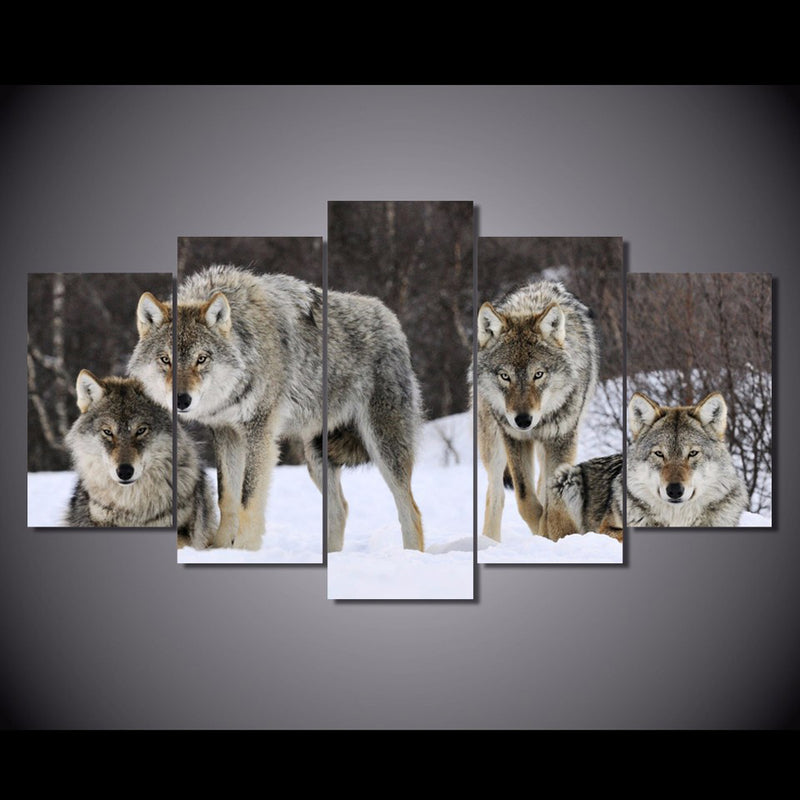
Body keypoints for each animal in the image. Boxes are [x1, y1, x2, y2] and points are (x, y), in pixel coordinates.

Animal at [128, 265, 424, 552]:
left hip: (383, 446)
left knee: (411, 511)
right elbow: (227, 498)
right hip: (316, 456)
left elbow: (248, 498)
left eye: (201, 359)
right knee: (340, 510)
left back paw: (411, 556)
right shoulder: (226, 433)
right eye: (165, 359)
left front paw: (244, 551)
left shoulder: (259, 432)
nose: (181, 400)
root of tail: (390, 318)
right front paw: (221, 549)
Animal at [475, 280, 599, 542]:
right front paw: (541, 531)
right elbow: (525, 500)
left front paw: (550, 534)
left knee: (542, 485)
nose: (523, 420)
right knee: (496, 494)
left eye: (538, 374)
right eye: (505, 376)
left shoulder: (562, 439)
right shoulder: (514, 438)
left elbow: (550, 500)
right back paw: (489, 542)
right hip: (493, 444)